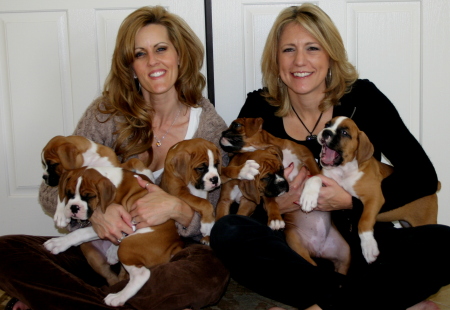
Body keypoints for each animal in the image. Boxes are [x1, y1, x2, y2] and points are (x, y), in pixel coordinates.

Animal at [43, 166, 181, 306]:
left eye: (89, 196)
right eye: (69, 193)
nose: (74, 208)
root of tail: (174, 246)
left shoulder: (113, 223)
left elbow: (81, 232)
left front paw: (59, 243)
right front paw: (61, 214)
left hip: (127, 246)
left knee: (142, 274)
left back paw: (118, 297)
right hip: (91, 252)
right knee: (112, 277)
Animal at [220, 118, 350, 274]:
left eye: (236, 124)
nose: (222, 133)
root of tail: (319, 250)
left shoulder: (307, 157)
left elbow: (316, 174)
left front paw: (310, 195)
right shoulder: (267, 188)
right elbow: (271, 201)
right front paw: (275, 219)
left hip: (344, 255)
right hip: (296, 243)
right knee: (311, 264)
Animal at [302, 116, 440, 264]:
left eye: (344, 133)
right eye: (327, 125)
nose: (326, 132)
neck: (343, 171)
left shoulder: (374, 197)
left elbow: (364, 221)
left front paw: (368, 246)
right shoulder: (327, 178)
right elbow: (315, 178)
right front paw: (308, 197)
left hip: (425, 220)